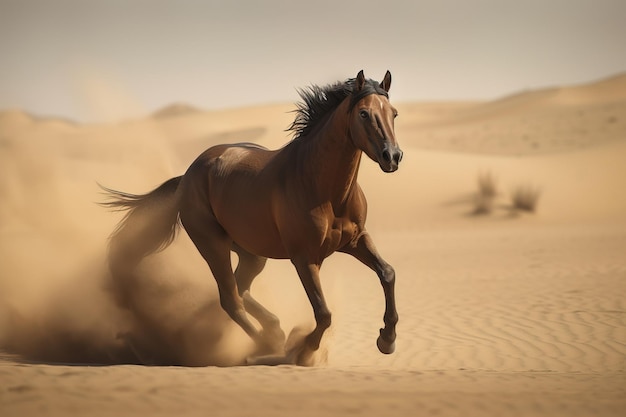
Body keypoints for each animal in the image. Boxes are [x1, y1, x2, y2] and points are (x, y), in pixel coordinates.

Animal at [101, 69, 404, 364]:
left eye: (394, 113)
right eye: (363, 113)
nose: (392, 156)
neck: (324, 190)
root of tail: (187, 175)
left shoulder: (355, 240)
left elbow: (387, 273)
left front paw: (386, 340)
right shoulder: (305, 258)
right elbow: (323, 312)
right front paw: (303, 350)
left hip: (251, 252)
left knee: (241, 287)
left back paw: (275, 330)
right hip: (213, 245)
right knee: (230, 298)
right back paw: (268, 345)